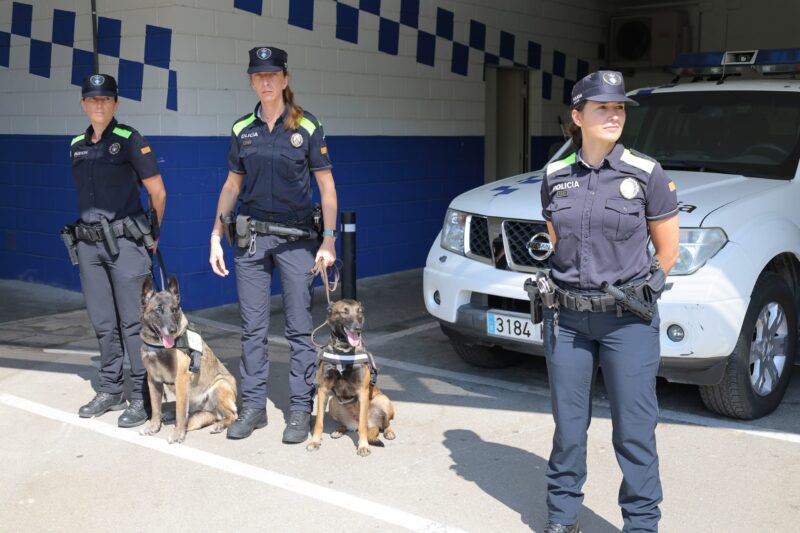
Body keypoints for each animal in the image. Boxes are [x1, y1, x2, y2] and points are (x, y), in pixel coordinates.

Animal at [139, 272, 238, 442]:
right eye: (158, 310)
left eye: (174, 310)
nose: (172, 330)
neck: (159, 346)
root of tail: (213, 413)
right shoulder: (153, 380)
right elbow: (156, 407)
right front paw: (153, 426)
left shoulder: (181, 378)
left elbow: (180, 411)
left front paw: (178, 434)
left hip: (219, 385)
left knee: (232, 415)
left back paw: (219, 425)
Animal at [306, 298, 394, 456]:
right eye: (344, 312)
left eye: (360, 312)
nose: (358, 328)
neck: (344, 351)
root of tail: (372, 424)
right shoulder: (323, 390)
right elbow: (319, 422)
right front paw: (315, 441)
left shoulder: (363, 392)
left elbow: (363, 426)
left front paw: (363, 446)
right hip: (333, 402)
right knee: (347, 425)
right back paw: (339, 430)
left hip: (382, 400)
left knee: (383, 423)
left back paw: (388, 431)